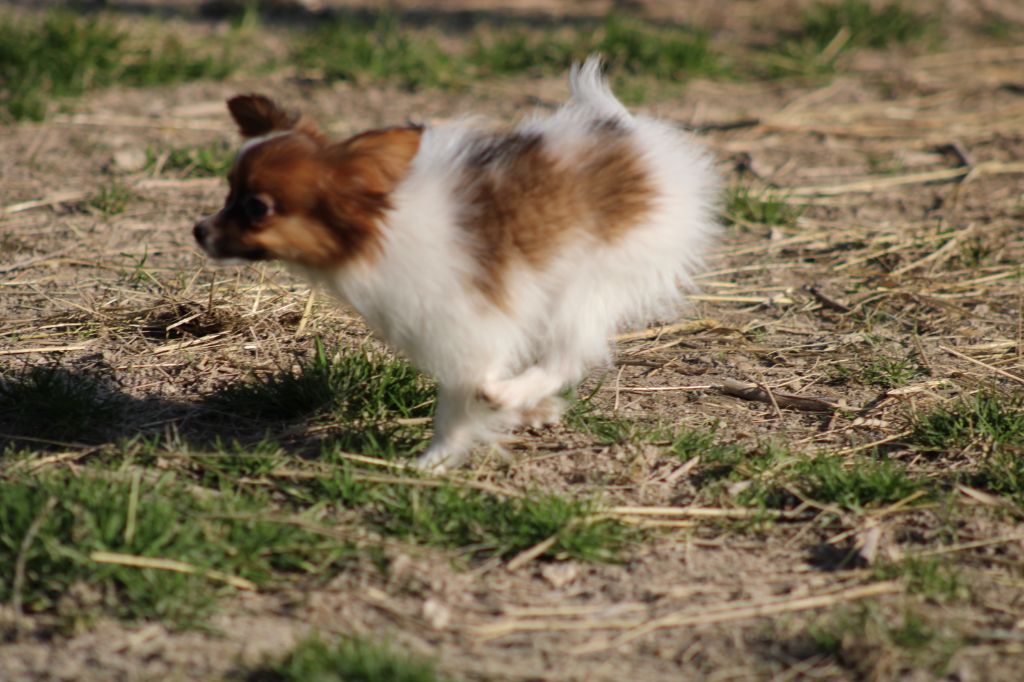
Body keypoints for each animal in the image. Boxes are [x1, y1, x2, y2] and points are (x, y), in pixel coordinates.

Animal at [193, 57, 720, 466]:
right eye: (228, 192)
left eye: (256, 207)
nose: (198, 230)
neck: (382, 231)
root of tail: (631, 135)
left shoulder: (469, 327)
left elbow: (460, 401)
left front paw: (434, 461)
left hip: (591, 283)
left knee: (565, 355)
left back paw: (513, 394)